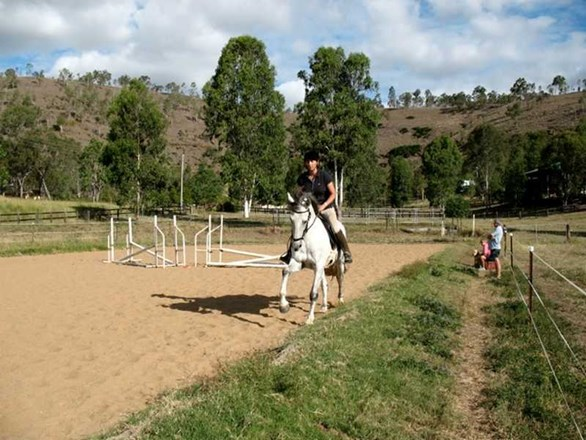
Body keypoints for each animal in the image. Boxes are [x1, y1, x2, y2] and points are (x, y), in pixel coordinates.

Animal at [278, 192, 344, 324]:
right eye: (291, 219)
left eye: (304, 221)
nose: (296, 246)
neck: (307, 238)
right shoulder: (299, 263)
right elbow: (285, 271)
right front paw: (283, 306)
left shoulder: (318, 266)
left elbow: (313, 293)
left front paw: (309, 319)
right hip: (321, 267)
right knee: (324, 285)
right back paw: (324, 306)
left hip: (339, 262)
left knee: (340, 279)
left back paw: (340, 300)